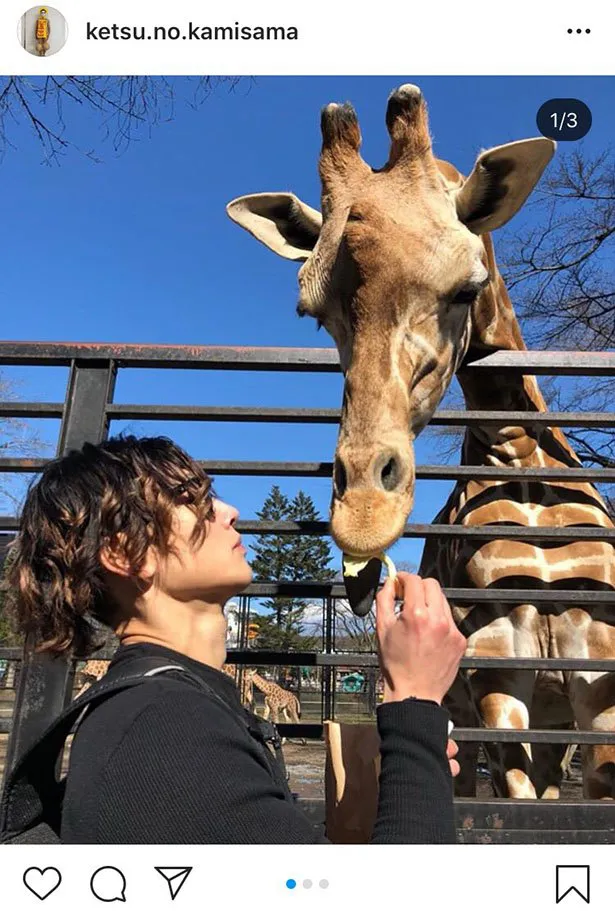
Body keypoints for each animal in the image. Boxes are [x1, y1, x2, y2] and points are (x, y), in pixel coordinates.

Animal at [226, 83, 615, 800]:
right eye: (315, 315)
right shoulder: (497, 676)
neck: (521, 459)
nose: (363, 515)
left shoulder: (598, 674)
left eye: (466, 287)